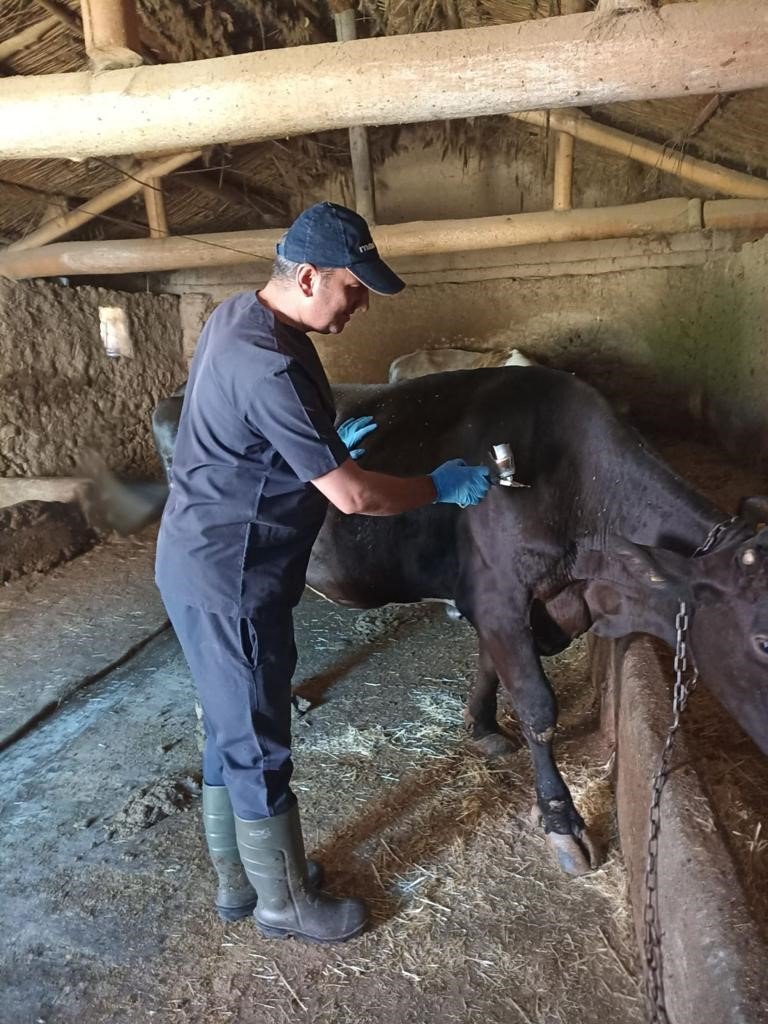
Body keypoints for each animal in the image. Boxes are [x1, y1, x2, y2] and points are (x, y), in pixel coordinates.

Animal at [151, 372, 768, 876]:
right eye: (763, 638)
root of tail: (176, 395)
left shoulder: (502, 600)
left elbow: (489, 667)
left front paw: (481, 727)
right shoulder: (500, 597)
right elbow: (539, 707)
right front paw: (561, 821)